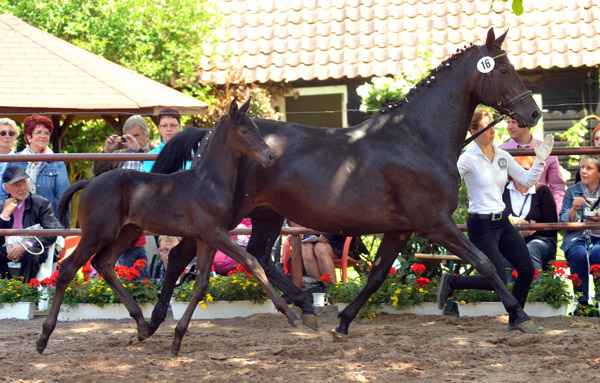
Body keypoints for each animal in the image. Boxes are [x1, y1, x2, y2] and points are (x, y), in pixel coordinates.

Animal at [37, 100, 300, 356]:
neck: (208, 183)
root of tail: (91, 182)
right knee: (68, 269)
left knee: (104, 263)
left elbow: (201, 284)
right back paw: (43, 338)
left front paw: (177, 340)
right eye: (244, 131)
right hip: (97, 233)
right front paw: (291, 315)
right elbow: (253, 263)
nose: (270, 157)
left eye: (255, 128)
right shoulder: (216, 233)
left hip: (128, 232)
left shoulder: (206, 239)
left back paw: (142, 325)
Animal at [148, 27, 540, 340]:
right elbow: (485, 263)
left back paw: (305, 308)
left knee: (258, 255)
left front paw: (343, 322)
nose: (533, 114)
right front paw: (521, 317)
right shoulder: (434, 223)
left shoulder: (401, 229)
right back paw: (152, 322)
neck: (417, 138)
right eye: (504, 70)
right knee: (182, 256)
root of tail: (208, 136)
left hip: (266, 214)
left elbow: (377, 276)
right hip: (223, 218)